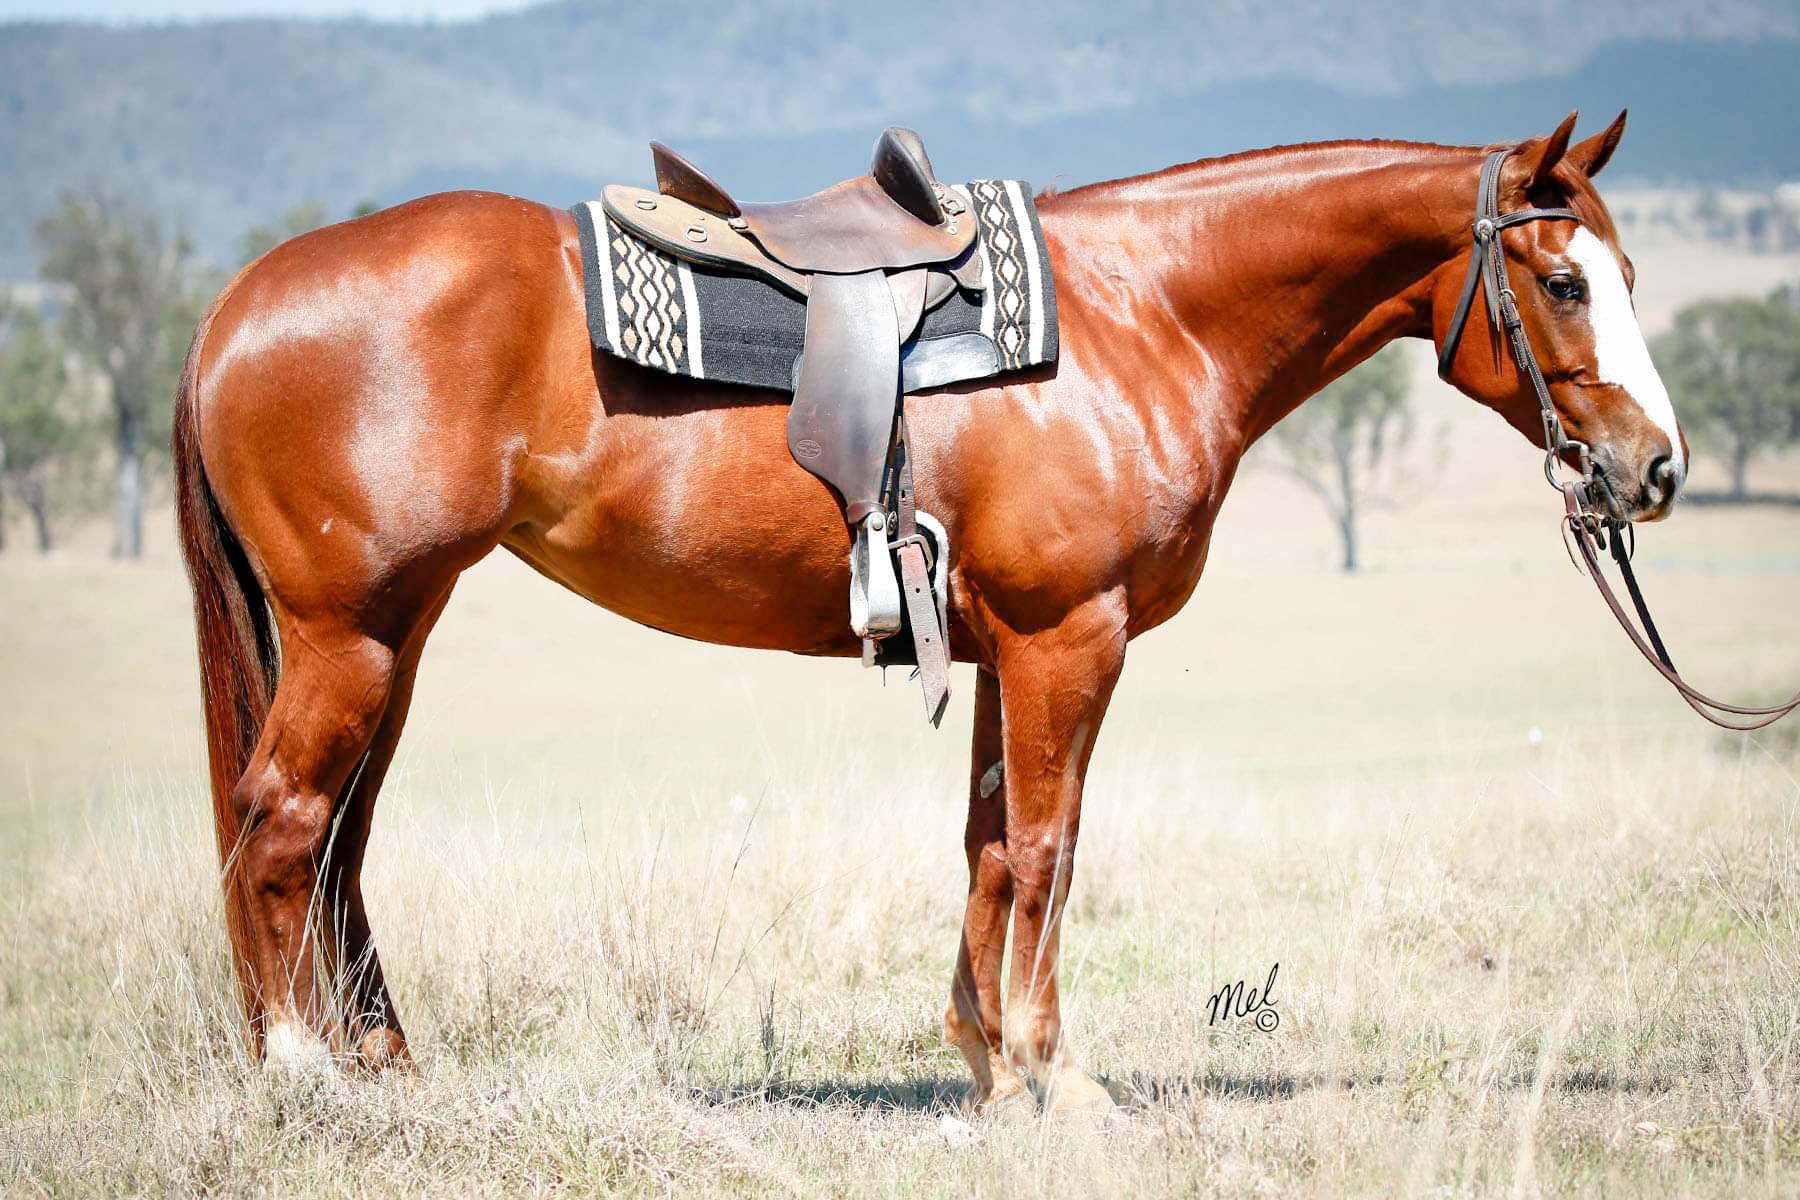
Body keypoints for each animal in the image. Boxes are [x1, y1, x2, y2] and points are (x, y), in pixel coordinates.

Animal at [174, 109, 1685, 1113]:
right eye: (1562, 282)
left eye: (1624, 276)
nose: (1654, 469)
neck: (1141, 316)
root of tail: (240, 304)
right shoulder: (1073, 636)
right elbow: (1051, 850)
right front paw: (1054, 1077)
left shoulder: (1009, 645)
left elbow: (990, 845)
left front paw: (987, 1060)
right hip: (353, 635)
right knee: (282, 823)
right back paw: (303, 1073)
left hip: (396, 632)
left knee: (339, 838)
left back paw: (380, 1063)